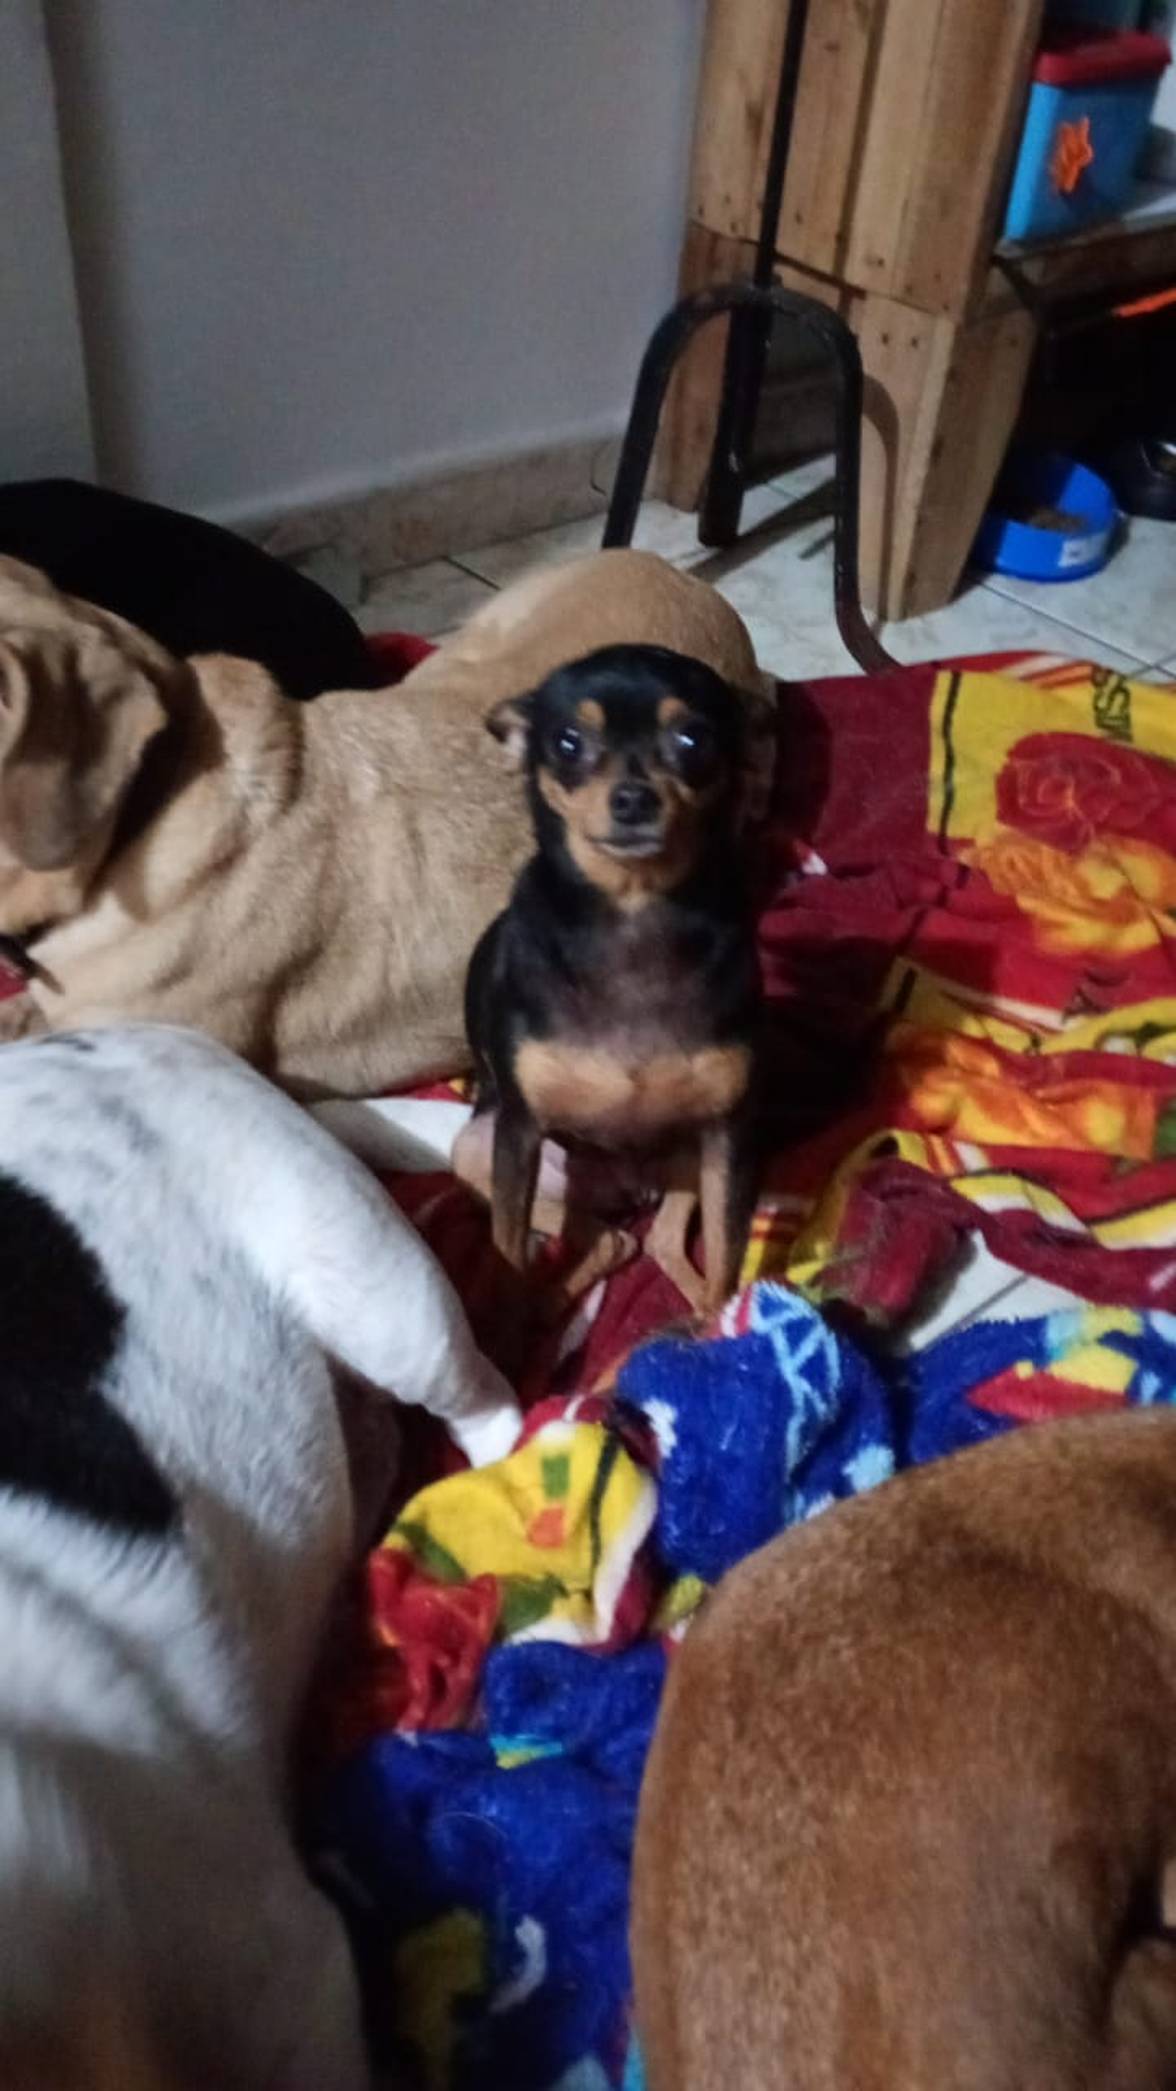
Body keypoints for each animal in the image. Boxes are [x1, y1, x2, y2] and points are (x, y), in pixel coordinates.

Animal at [458, 643, 766, 1312]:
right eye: (568, 742)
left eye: (694, 738)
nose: (633, 799)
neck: (633, 908)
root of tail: (630, 1188)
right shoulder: (518, 1134)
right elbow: (507, 1250)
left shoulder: (728, 1133)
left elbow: (727, 1252)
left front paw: (730, 1323)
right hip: (478, 1149)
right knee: (605, 1240)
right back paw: (549, 1302)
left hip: (687, 1156)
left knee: (657, 1242)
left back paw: (690, 1311)